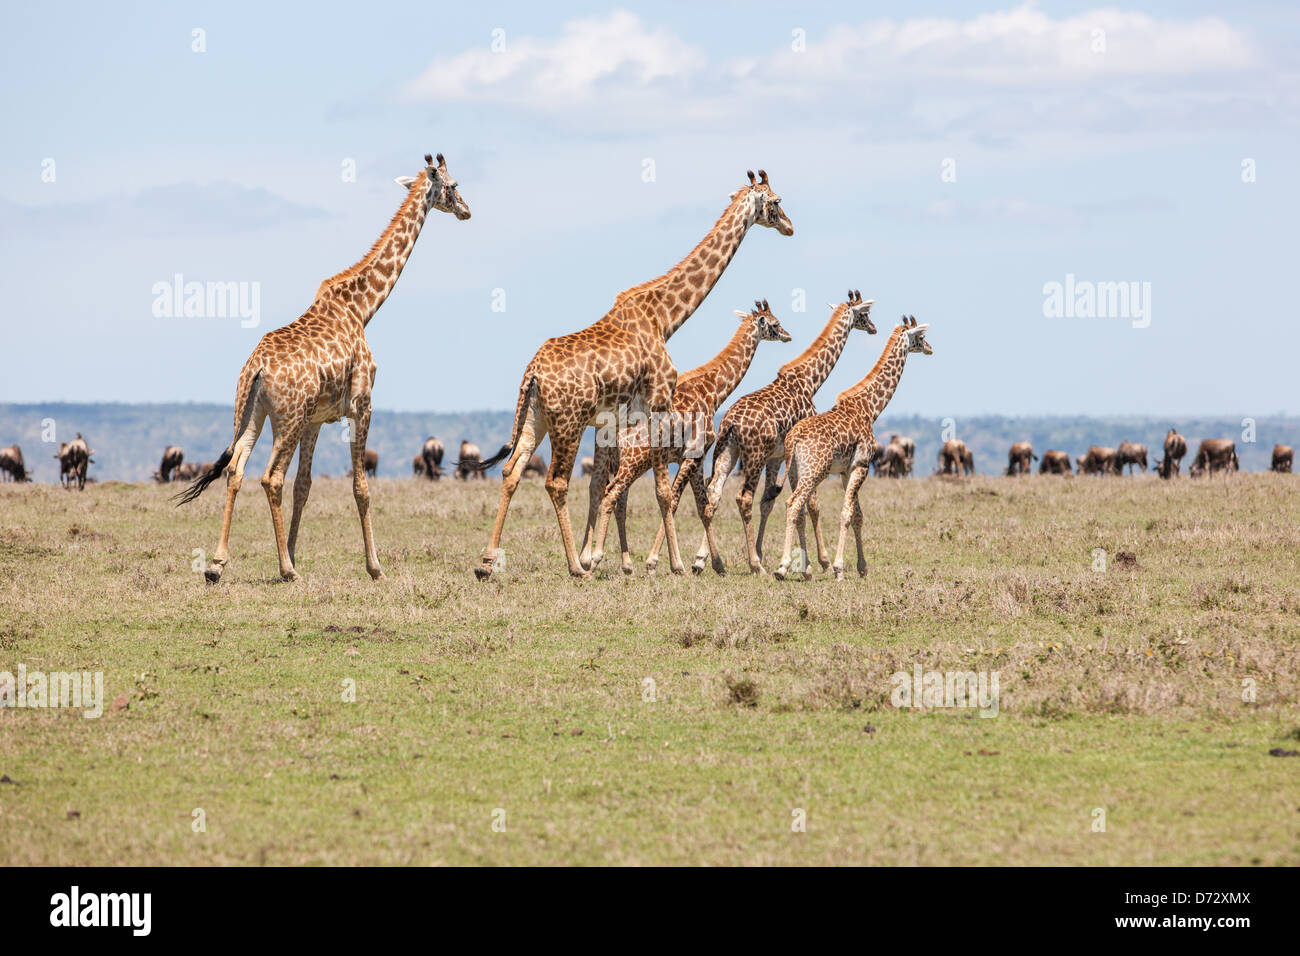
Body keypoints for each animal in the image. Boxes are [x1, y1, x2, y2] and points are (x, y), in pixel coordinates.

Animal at [177, 153, 471, 583]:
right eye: (453, 185)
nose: (467, 210)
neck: (362, 308)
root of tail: (257, 368)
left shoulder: (317, 420)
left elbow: (305, 485)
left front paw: (294, 552)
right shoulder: (362, 404)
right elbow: (360, 487)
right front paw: (374, 567)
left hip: (253, 414)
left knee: (236, 470)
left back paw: (217, 565)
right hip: (288, 418)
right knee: (270, 478)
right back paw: (285, 571)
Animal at [578, 299, 792, 575]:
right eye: (775, 324)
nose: (788, 335)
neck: (713, 390)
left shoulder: (693, 459)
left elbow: (702, 507)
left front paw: (714, 564)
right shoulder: (695, 454)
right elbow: (681, 502)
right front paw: (680, 563)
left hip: (621, 461)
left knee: (613, 496)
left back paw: (618, 563)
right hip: (633, 460)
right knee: (611, 494)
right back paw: (595, 558)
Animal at [697, 291, 876, 574]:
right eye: (865, 313)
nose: (873, 327)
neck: (811, 379)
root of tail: (730, 422)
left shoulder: (778, 456)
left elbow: (769, 502)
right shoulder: (799, 456)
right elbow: (810, 504)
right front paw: (821, 561)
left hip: (727, 453)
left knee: (713, 493)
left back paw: (707, 561)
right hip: (754, 456)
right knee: (743, 498)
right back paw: (754, 565)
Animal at [774, 317, 933, 581]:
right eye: (920, 336)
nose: (930, 348)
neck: (870, 408)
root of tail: (793, 438)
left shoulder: (846, 470)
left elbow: (858, 514)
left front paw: (862, 567)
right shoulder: (862, 465)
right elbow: (847, 512)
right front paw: (839, 568)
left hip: (795, 472)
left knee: (797, 509)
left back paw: (805, 570)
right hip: (814, 471)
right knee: (794, 504)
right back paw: (783, 567)